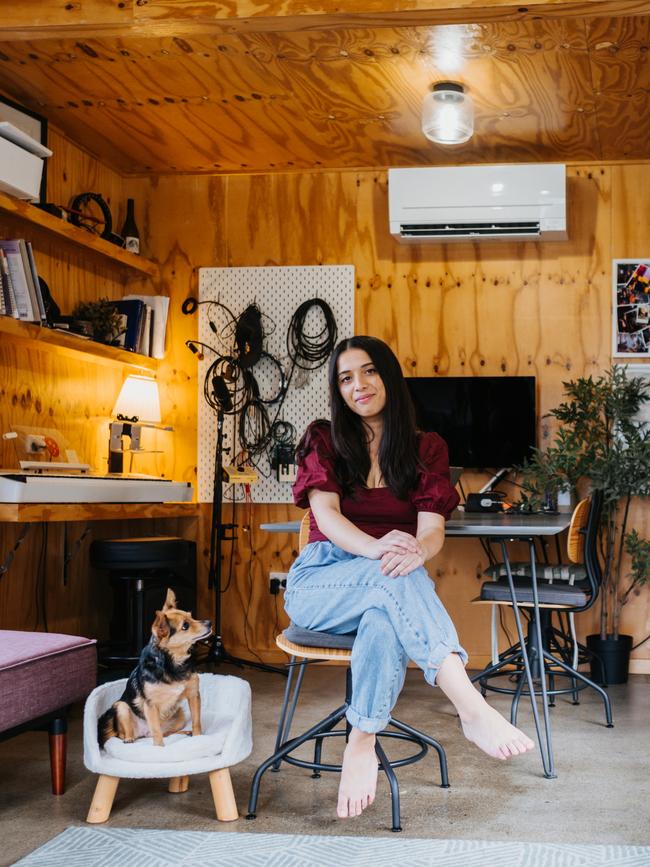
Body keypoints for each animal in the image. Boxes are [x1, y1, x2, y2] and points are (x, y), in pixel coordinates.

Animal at [97, 592, 211, 748]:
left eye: (191, 616)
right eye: (185, 626)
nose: (210, 622)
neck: (173, 663)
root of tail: (144, 734)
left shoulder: (194, 695)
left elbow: (196, 721)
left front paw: (198, 737)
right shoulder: (150, 705)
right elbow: (156, 730)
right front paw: (159, 748)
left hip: (179, 714)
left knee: (167, 733)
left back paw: (186, 732)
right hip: (121, 707)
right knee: (125, 734)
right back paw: (129, 738)